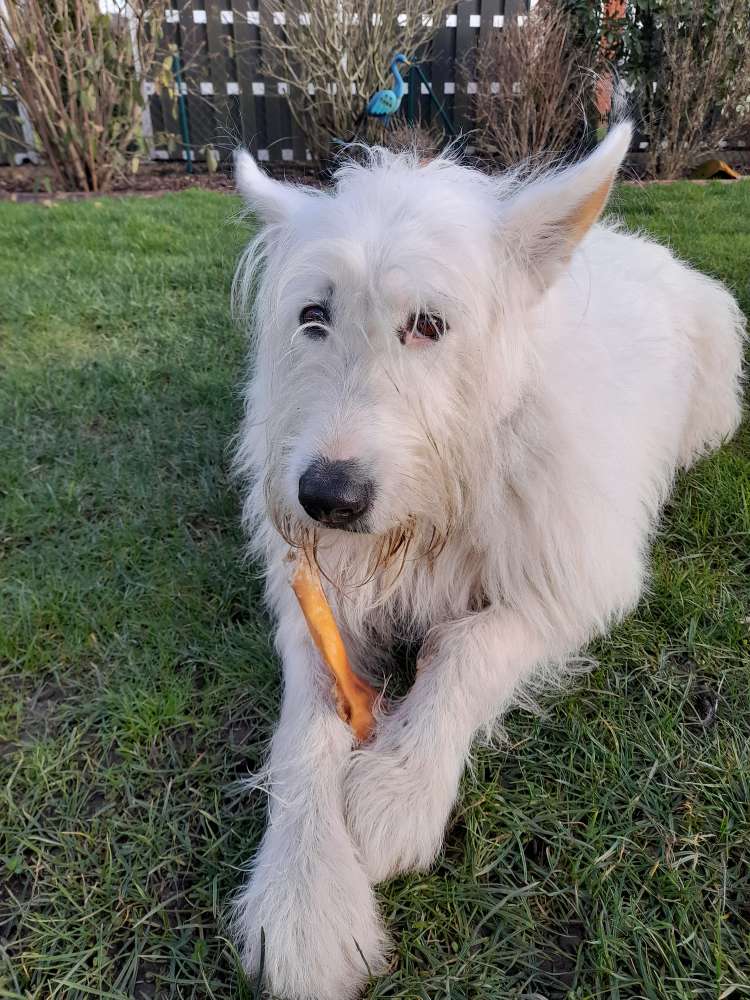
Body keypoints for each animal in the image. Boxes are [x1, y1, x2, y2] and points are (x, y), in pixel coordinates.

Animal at [231, 127, 748, 1000]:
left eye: (428, 323)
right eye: (313, 316)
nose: (328, 497)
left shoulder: (576, 579)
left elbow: (471, 646)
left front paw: (398, 790)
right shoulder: (318, 605)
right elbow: (309, 723)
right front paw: (303, 894)